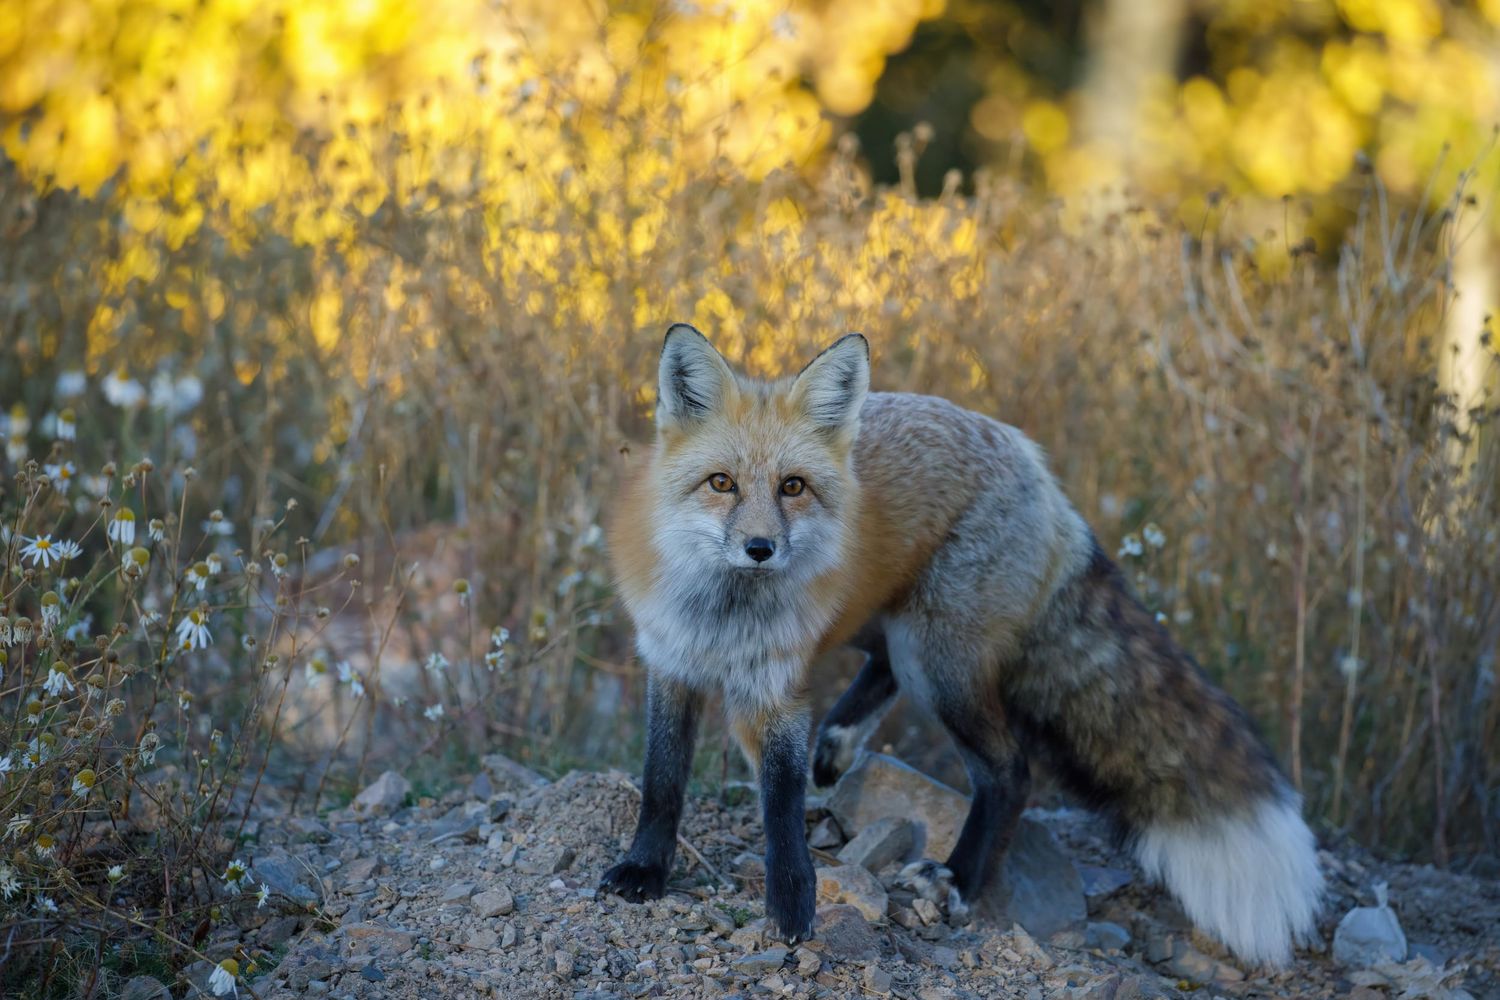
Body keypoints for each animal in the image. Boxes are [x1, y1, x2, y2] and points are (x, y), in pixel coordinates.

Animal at [600, 324, 1323, 967]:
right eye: (721, 483)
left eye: (792, 487)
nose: (761, 548)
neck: (722, 618)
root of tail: (1036, 467)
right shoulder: (670, 662)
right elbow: (662, 779)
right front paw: (645, 869)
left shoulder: (774, 690)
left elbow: (779, 806)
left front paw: (791, 904)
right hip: (888, 623)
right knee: (884, 670)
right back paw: (838, 745)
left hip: (937, 664)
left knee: (1010, 770)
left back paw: (957, 877)